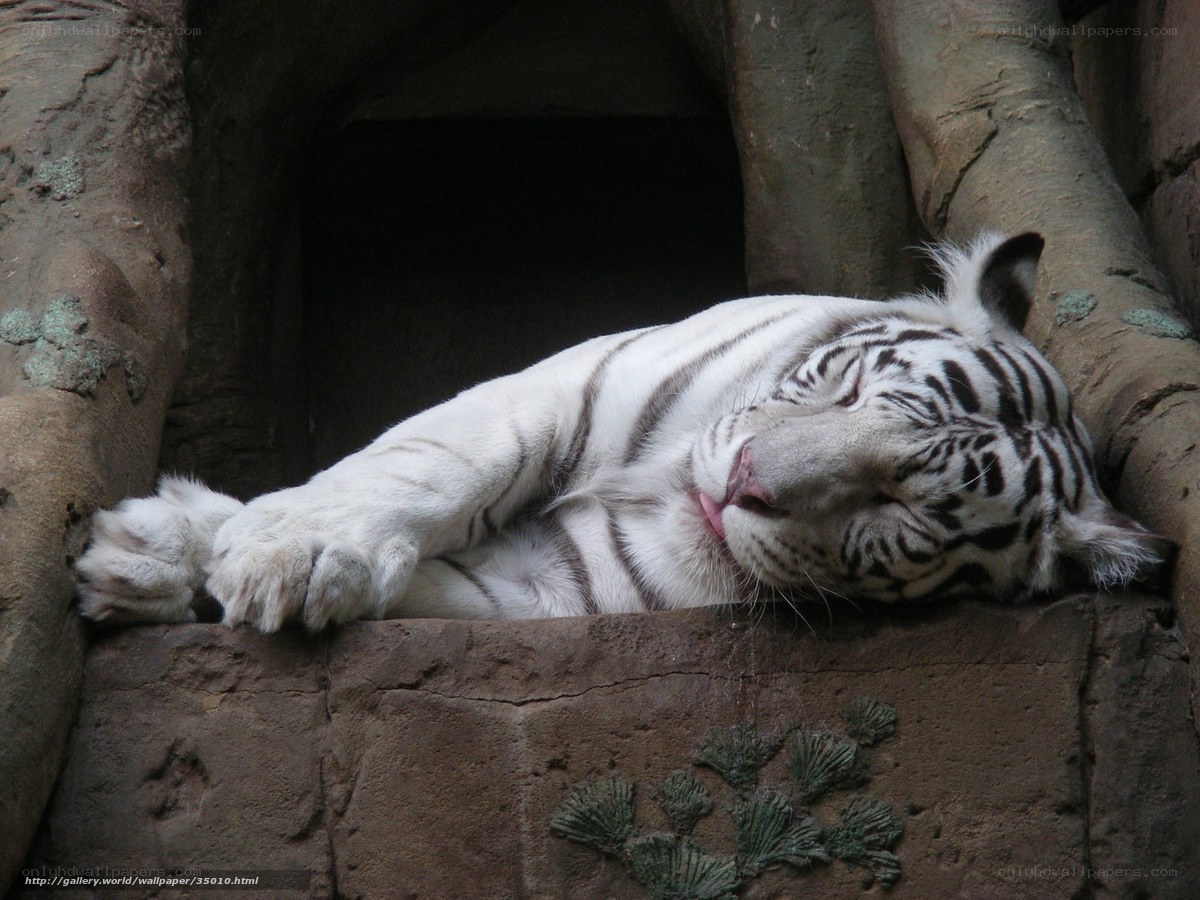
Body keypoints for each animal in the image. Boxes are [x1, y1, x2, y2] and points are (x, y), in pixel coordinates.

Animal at [76, 232, 1174, 631]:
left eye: (897, 507)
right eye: (851, 388)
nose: (742, 482)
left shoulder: (553, 589)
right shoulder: (569, 383)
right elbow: (434, 464)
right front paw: (279, 553)